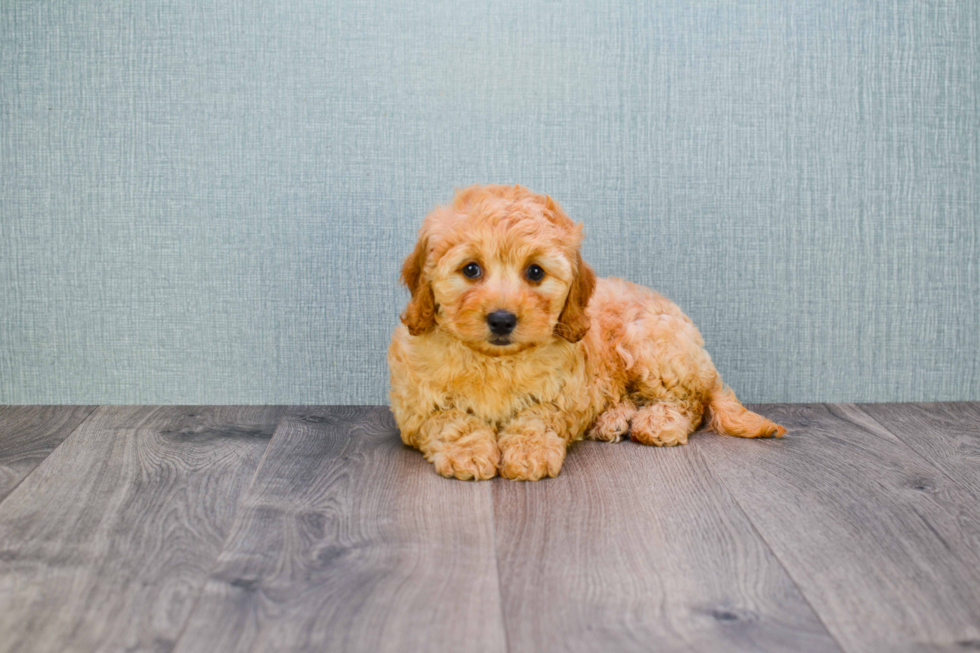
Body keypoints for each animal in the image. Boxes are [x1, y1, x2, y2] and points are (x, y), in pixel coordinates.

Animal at [386, 183, 784, 478]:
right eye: (470, 269)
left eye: (535, 272)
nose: (501, 319)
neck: (495, 359)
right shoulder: (416, 406)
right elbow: (452, 420)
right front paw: (469, 453)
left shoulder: (562, 396)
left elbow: (535, 418)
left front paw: (528, 452)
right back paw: (612, 421)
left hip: (652, 345)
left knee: (689, 402)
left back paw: (657, 422)